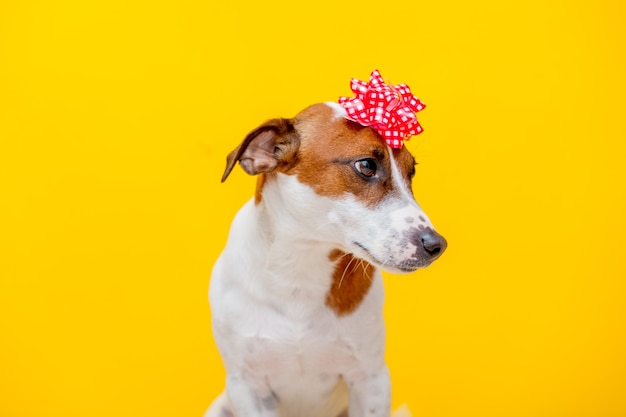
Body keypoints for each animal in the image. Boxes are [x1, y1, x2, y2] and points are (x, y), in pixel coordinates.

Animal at [205, 101, 444, 416]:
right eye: (367, 165)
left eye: (411, 171)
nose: (437, 244)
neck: (300, 267)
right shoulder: (247, 386)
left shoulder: (371, 379)